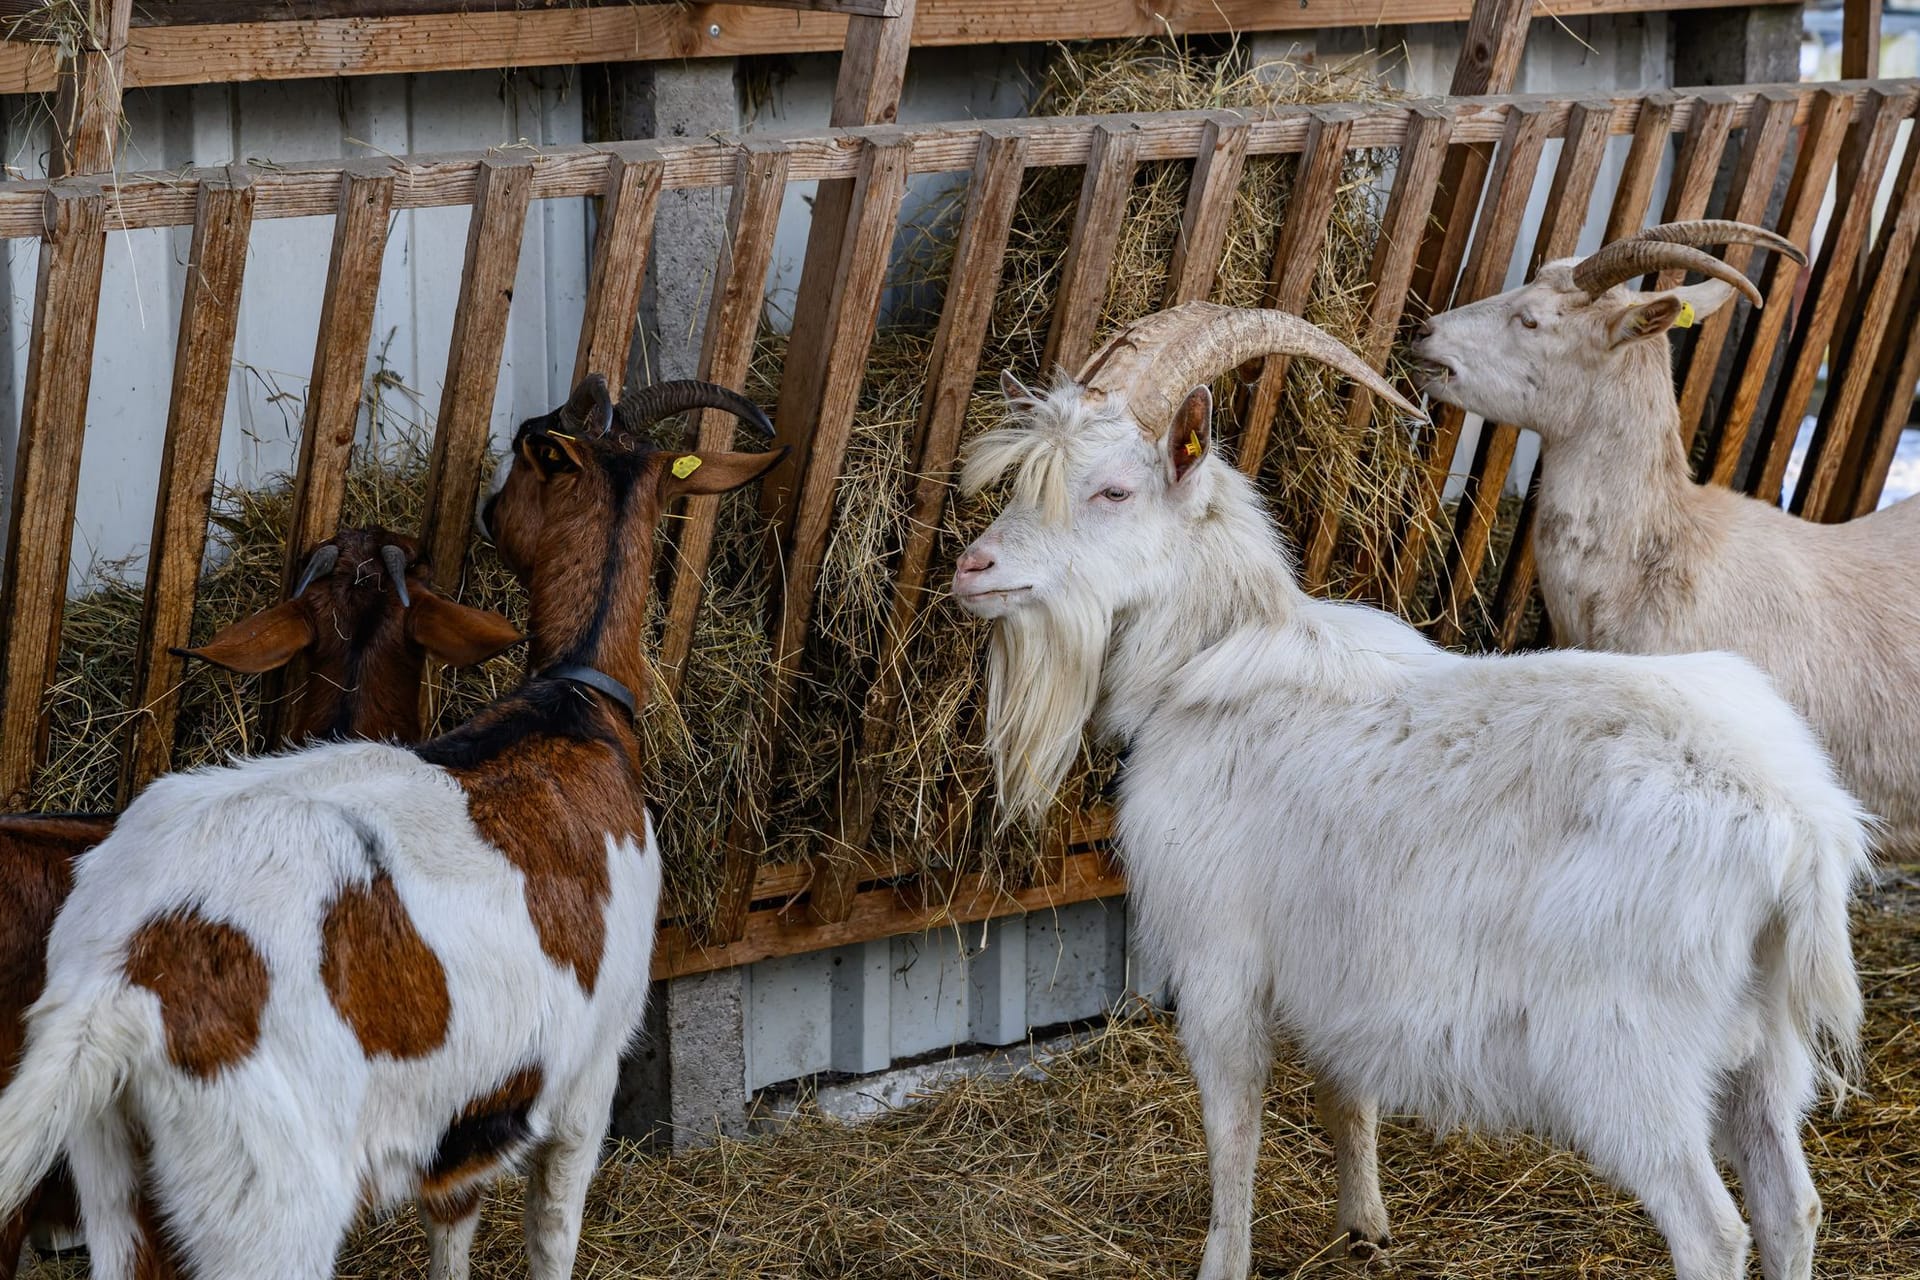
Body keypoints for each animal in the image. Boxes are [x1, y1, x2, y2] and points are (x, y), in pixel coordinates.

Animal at [952, 303, 1866, 1280]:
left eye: (1114, 492)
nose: (974, 569)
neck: (1204, 659)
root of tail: (1798, 829)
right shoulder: (1338, 968)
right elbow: (1346, 1092)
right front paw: (1365, 1222)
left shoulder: (1221, 961)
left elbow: (1232, 1130)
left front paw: (1225, 1260)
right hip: (1763, 1048)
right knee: (1792, 1205)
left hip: (1627, 1055)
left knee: (1714, 1230)